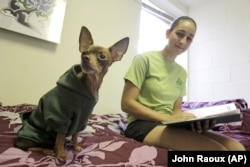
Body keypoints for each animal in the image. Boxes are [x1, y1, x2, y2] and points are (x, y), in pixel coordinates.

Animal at [15, 26, 129, 159]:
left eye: (102, 56)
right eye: (84, 53)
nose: (85, 58)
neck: (90, 86)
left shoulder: (81, 119)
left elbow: (75, 135)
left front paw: (76, 147)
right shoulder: (61, 119)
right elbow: (60, 138)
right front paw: (61, 154)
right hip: (40, 135)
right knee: (26, 147)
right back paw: (47, 150)